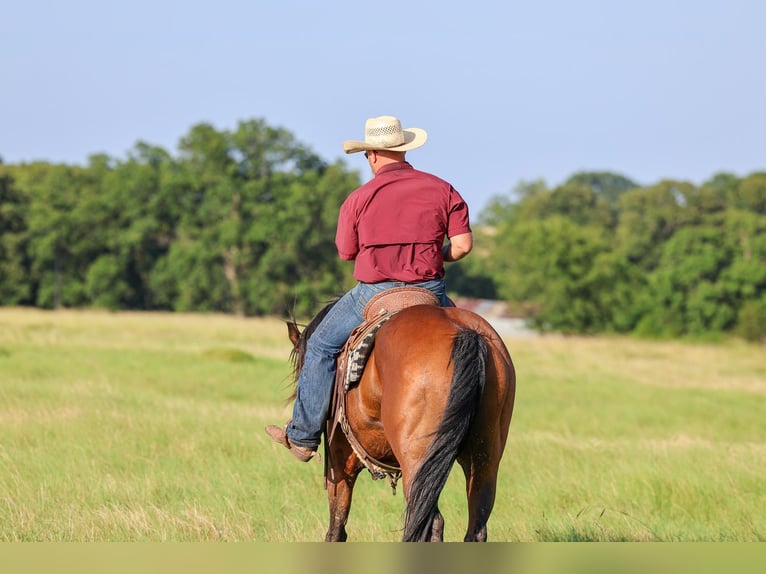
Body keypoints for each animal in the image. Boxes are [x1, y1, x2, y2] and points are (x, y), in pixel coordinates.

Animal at [285, 295, 516, 542]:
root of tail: (465, 332)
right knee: (477, 525)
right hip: (484, 457)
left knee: (430, 521)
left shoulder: (339, 460)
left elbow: (337, 525)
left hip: (416, 461)